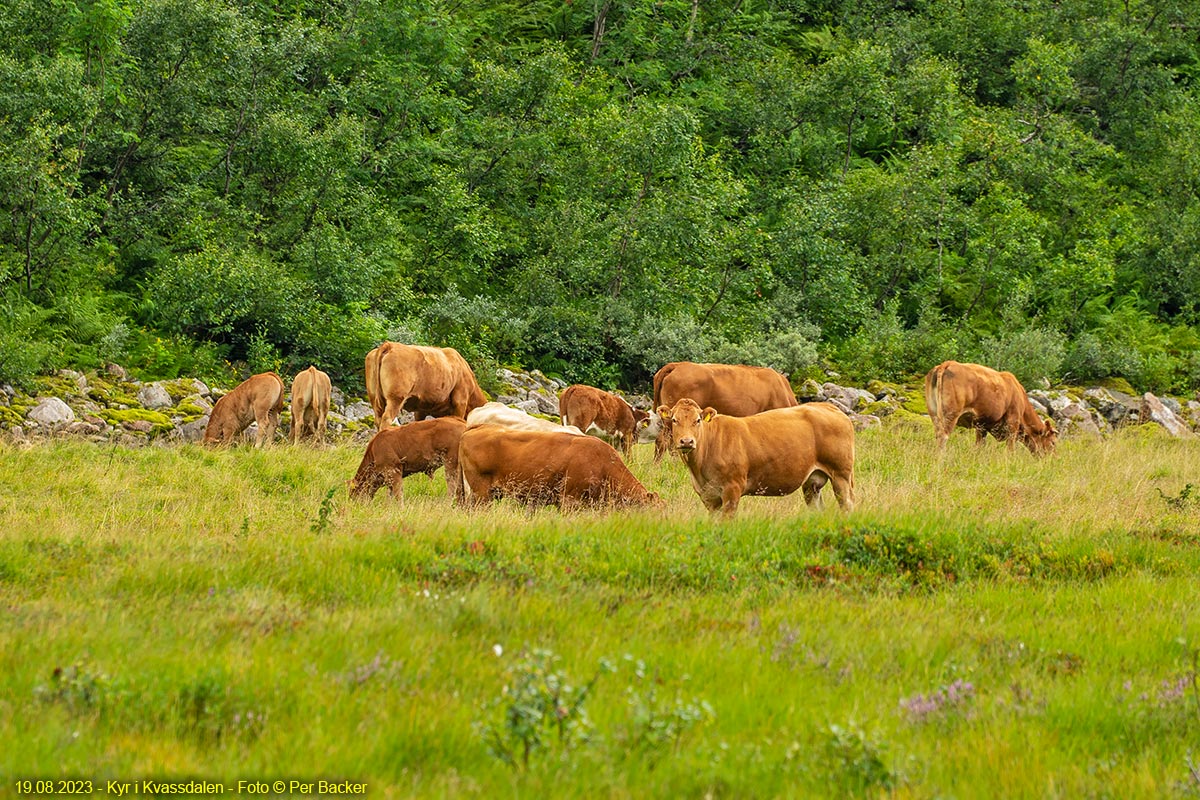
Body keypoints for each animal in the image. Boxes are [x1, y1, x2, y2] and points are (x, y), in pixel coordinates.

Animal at [657, 400, 854, 520]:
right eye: (674, 420)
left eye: (698, 420)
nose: (687, 441)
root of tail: (828, 406)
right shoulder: (708, 496)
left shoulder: (732, 490)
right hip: (812, 482)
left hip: (841, 474)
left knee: (847, 504)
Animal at [921, 362, 1056, 455]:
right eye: (1053, 442)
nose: (1054, 459)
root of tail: (947, 363)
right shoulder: (1013, 422)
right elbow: (1010, 448)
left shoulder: (981, 425)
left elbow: (979, 445)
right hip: (951, 414)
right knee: (943, 436)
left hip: (934, 413)